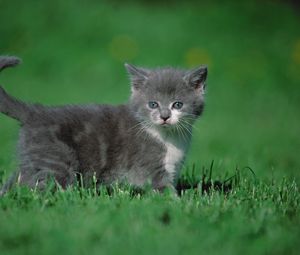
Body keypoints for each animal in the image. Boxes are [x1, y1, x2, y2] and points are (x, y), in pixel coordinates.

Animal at [0, 56, 206, 195]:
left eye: (177, 105)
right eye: (153, 104)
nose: (164, 116)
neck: (168, 137)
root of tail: (35, 112)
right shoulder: (149, 167)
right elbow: (164, 189)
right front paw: (178, 204)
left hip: (34, 160)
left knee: (18, 179)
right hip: (56, 160)